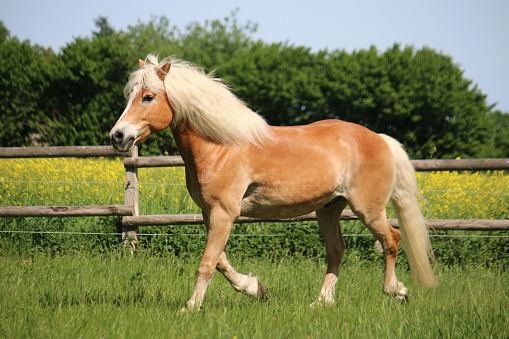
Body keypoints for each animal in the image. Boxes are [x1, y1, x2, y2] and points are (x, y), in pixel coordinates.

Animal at [110, 54, 436, 312]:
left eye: (148, 96)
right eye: (129, 95)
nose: (118, 136)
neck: (222, 146)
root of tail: (380, 139)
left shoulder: (224, 213)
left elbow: (208, 262)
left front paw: (190, 307)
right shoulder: (210, 213)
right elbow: (220, 260)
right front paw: (256, 289)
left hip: (367, 208)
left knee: (392, 239)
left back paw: (397, 291)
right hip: (329, 209)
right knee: (337, 250)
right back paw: (321, 302)